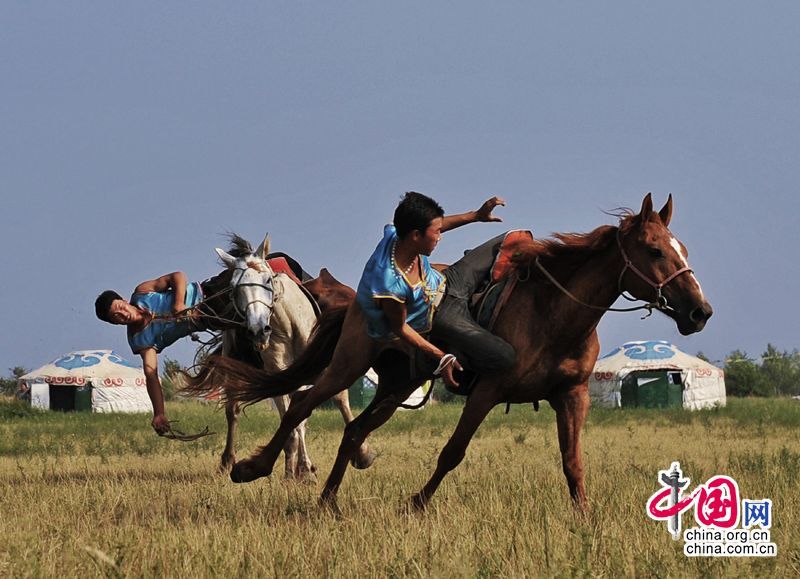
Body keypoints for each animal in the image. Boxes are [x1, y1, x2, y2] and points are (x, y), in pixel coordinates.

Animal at [206, 196, 712, 512]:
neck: (554, 310)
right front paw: (415, 504)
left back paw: (327, 502)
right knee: (302, 407)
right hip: (348, 364)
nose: (700, 311)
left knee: (352, 431)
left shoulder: (573, 395)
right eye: (654, 250)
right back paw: (251, 468)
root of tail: (357, 302)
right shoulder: (488, 388)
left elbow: (573, 462)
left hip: (398, 384)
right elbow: (453, 452)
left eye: (683, 248)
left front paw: (585, 518)